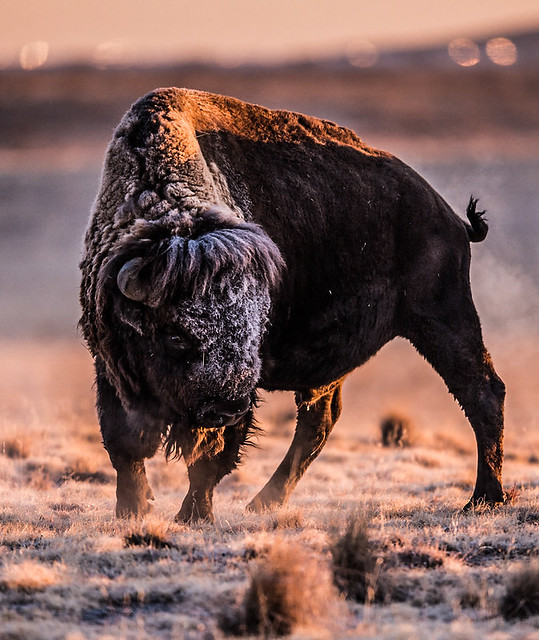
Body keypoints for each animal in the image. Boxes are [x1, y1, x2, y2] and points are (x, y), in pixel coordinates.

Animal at [79, 88, 505, 521]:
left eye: (254, 331)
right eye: (175, 335)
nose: (227, 407)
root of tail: (449, 217)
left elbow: (212, 458)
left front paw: (193, 515)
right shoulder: (109, 366)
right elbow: (122, 442)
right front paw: (132, 509)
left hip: (442, 318)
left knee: (483, 392)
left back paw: (484, 499)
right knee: (319, 421)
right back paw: (263, 502)